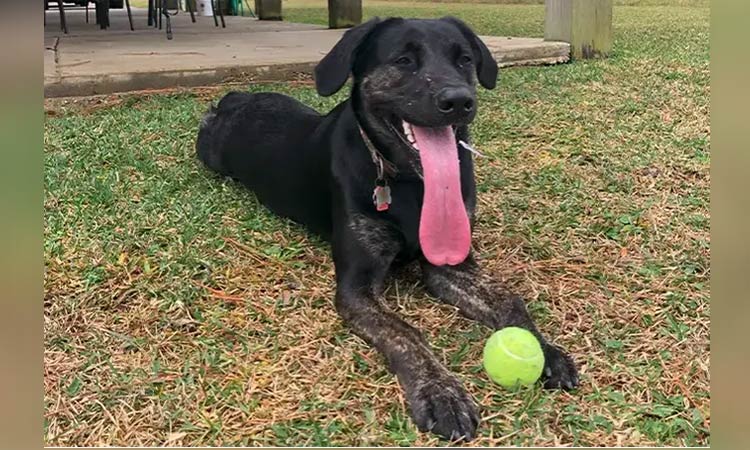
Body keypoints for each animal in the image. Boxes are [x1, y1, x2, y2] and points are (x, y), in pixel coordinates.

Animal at [197, 16, 580, 440]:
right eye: (403, 60)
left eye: (464, 59)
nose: (459, 101)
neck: (413, 184)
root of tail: (235, 98)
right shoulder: (357, 288)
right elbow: (406, 332)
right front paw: (441, 392)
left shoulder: (451, 264)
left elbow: (510, 300)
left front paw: (546, 350)